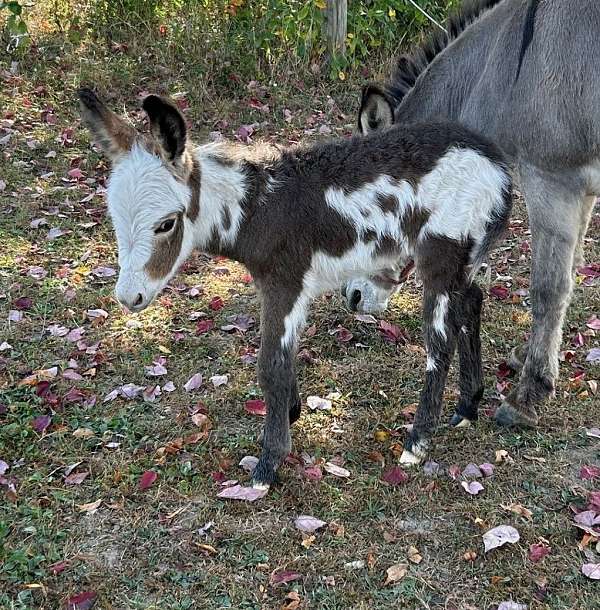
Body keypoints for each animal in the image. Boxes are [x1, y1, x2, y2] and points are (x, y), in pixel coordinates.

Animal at [78, 89, 510, 484]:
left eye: (166, 224)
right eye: (113, 218)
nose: (129, 297)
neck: (258, 208)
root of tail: (495, 161)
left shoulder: (285, 283)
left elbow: (271, 365)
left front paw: (269, 462)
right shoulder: (281, 288)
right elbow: (284, 358)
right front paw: (291, 412)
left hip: (441, 251)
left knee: (439, 342)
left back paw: (417, 443)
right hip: (464, 258)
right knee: (471, 302)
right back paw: (467, 406)